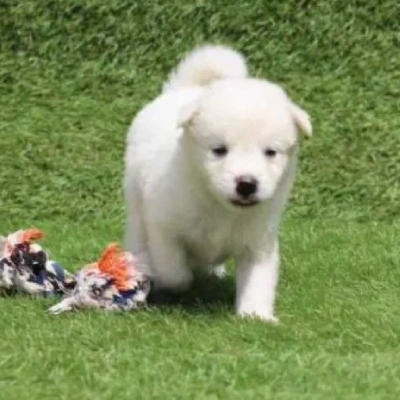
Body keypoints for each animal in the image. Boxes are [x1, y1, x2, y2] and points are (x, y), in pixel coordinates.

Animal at [123, 44, 310, 322]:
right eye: (219, 150)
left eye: (271, 152)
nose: (247, 183)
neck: (218, 205)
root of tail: (184, 89)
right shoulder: (163, 225)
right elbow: (173, 271)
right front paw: (173, 280)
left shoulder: (258, 239)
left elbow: (259, 278)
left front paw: (256, 315)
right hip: (135, 202)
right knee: (137, 237)